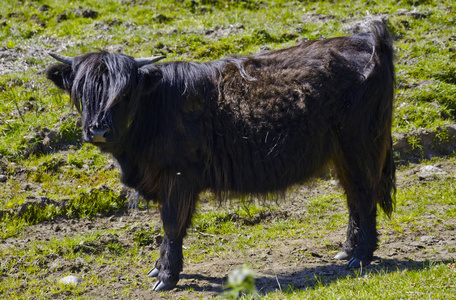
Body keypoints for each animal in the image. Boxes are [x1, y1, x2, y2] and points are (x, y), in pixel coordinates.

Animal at [47, 21, 396, 290]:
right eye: (82, 92)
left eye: (124, 94)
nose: (98, 130)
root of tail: (369, 39)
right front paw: (162, 269)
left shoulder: (178, 176)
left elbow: (172, 224)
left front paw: (166, 276)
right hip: (343, 154)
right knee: (354, 196)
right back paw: (347, 250)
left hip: (361, 145)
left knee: (364, 195)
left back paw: (360, 255)